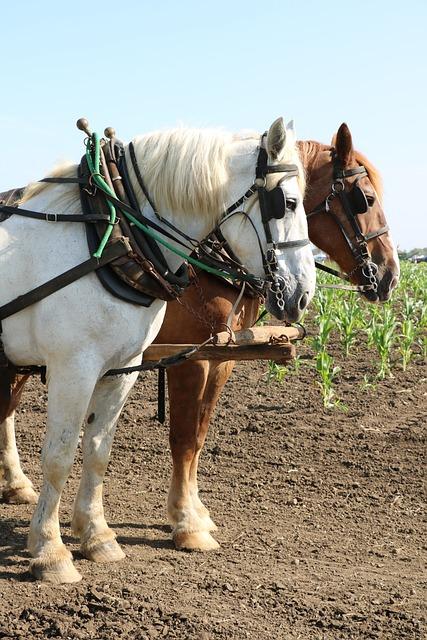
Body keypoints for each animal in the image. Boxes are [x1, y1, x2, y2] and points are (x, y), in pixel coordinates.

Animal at [1, 122, 400, 552]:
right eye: (365, 198)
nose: (390, 275)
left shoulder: (213, 358)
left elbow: (194, 435)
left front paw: (192, 513)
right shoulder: (182, 360)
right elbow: (181, 438)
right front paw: (186, 522)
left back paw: (16, 484)